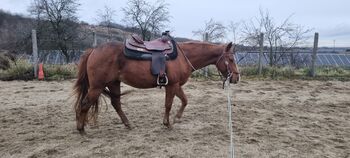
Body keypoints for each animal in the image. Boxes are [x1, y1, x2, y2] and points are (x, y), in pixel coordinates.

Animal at [73, 40, 239, 133]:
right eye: (231, 59)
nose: (236, 77)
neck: (182, 56)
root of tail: (93, 50)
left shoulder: (176, 85)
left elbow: (185, 100)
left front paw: (177, 118)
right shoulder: (172, 86)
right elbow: (168, 104)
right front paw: (168, 124)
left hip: (113, 83)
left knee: (116, 103)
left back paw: (128, 124)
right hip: (97, 87)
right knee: (85, 103)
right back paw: (81, 129)